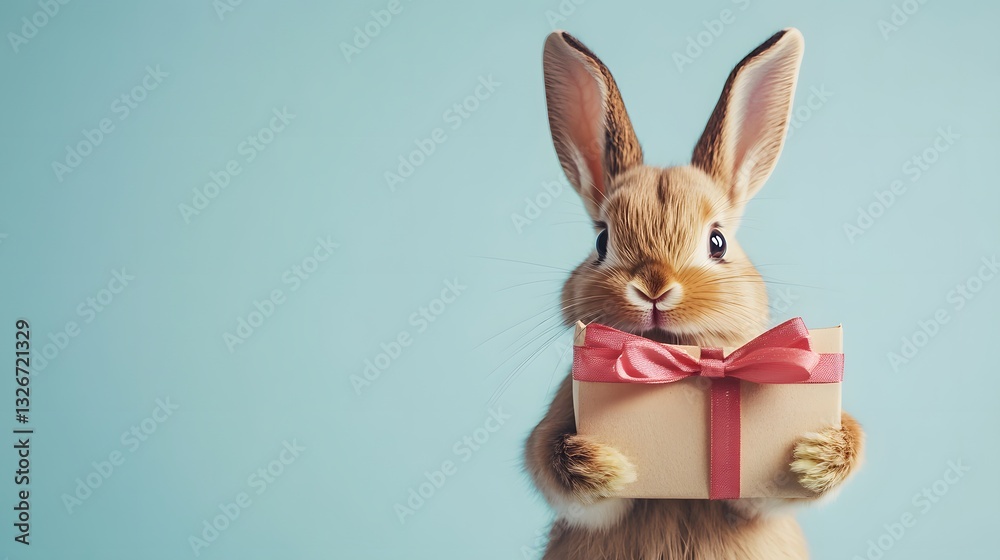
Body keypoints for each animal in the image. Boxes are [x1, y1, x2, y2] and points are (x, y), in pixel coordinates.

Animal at [524, 28, 864, 559]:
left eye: (717, 241)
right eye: (601, 240)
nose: (654, 287)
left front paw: (817, 456)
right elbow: (553, 463)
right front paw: (604, 464)